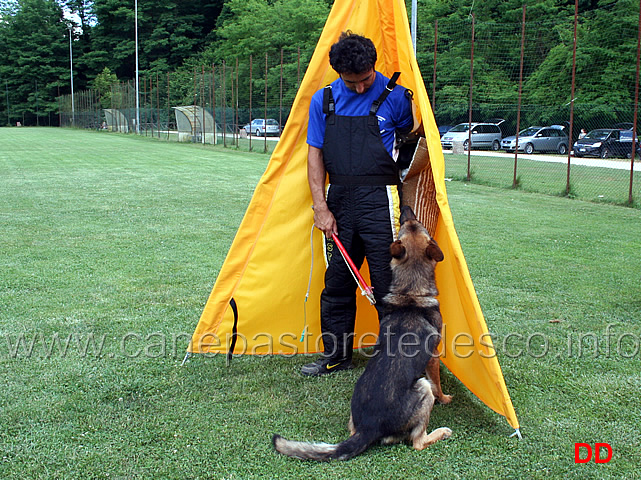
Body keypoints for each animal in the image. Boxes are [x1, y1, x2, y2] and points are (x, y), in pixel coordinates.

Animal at [272, 207, 452, 462]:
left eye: (412, 223)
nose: (407, 209)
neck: (410, 293)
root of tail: (369, 427)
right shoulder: (433, 358)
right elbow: (438, 385)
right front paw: (445, 399)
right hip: (422, 389)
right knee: (417, 441)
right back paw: (441, 432)